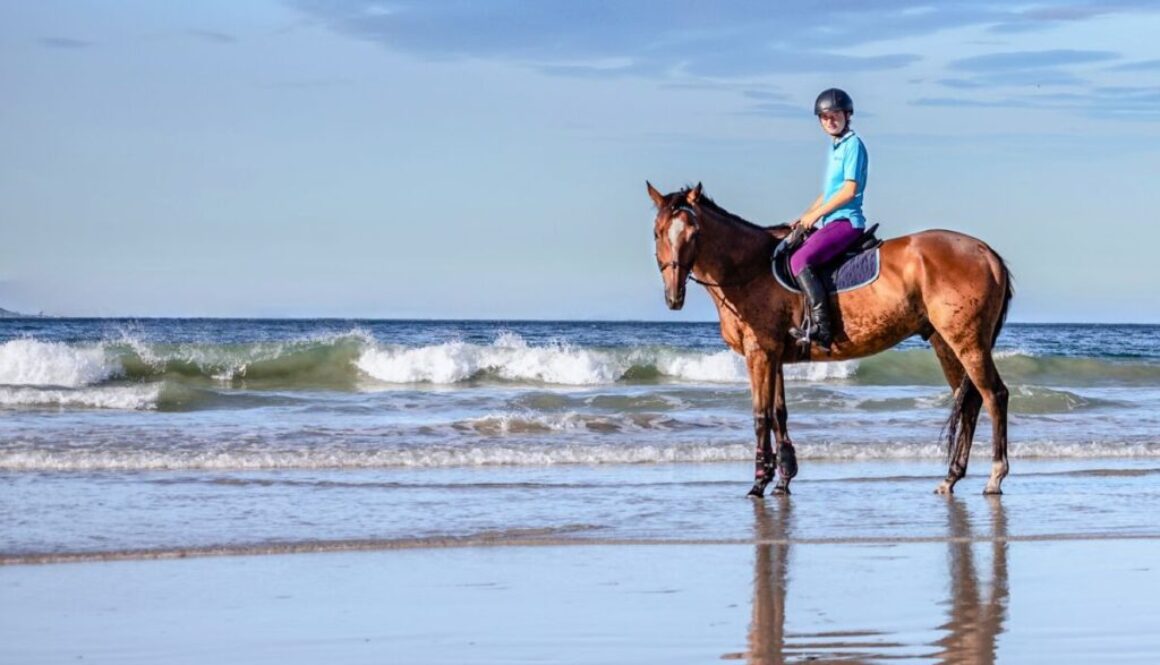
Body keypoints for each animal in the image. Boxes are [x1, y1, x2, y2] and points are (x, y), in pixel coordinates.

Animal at [648, 182, 1013, 497]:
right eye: (657, 232)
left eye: (694, 233)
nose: (673, 296)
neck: (749, 268)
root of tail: (987, 252)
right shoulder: (775, 356)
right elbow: (779, 413)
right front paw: (784, 478)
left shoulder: (759, 353)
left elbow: (760, 415)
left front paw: (759, 482)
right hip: (944, 343)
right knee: (970, 402)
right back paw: (951, 477)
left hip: (967, 342)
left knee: (994, 395)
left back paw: (995, 475)